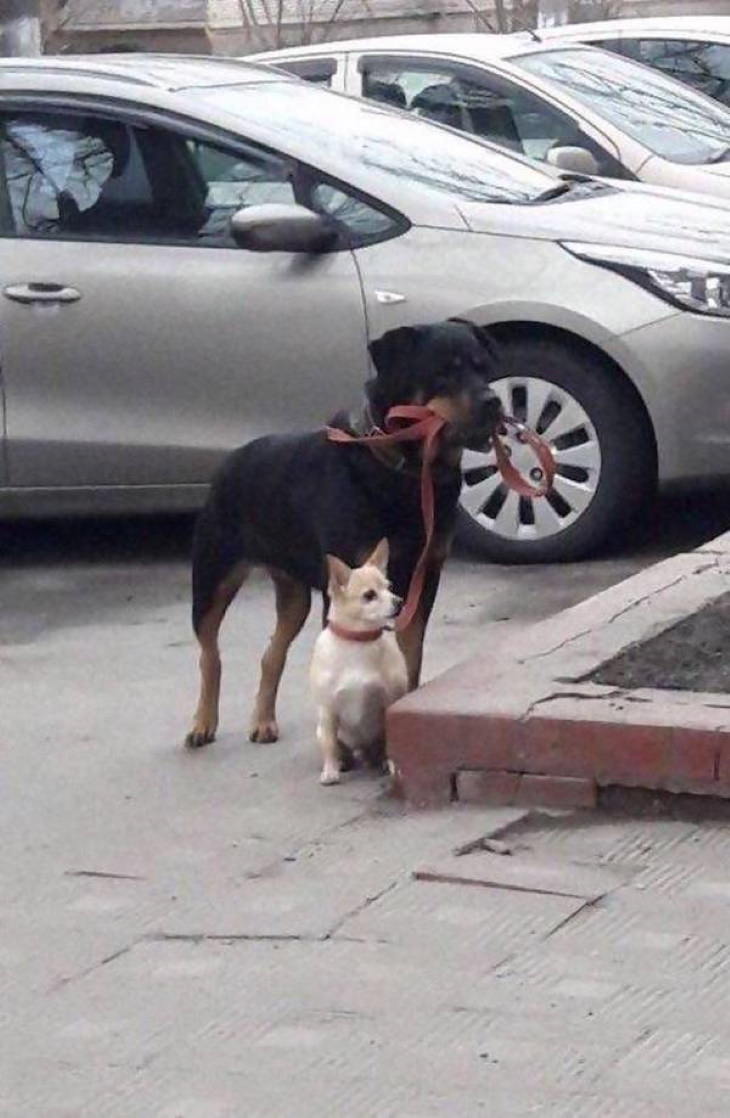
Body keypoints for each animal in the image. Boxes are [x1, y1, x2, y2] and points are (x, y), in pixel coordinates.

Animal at [183, 317, 500, 751]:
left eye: (484, 368)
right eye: (444, 373)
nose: (493, 401)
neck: (403, 472)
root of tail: (229, 461)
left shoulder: (425, 575)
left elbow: (411, 655)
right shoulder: (350, 578)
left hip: (294, 592)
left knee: (272, 653)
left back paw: (263, 721)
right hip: (213, 575)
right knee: (209, 652)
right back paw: (202, 722)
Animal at [308, 538, 406, 787]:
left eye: (389, 587)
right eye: (369, 595)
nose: (399, 601)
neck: (359, 642)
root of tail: (364, 751)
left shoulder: (389, 701)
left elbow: (391, 739)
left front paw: (393, 766)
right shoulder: (328, 711)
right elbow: (330, 744)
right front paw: (330, 771)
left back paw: (382, 761)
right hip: (321, 729)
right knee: (335, 745)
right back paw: (342, 762)